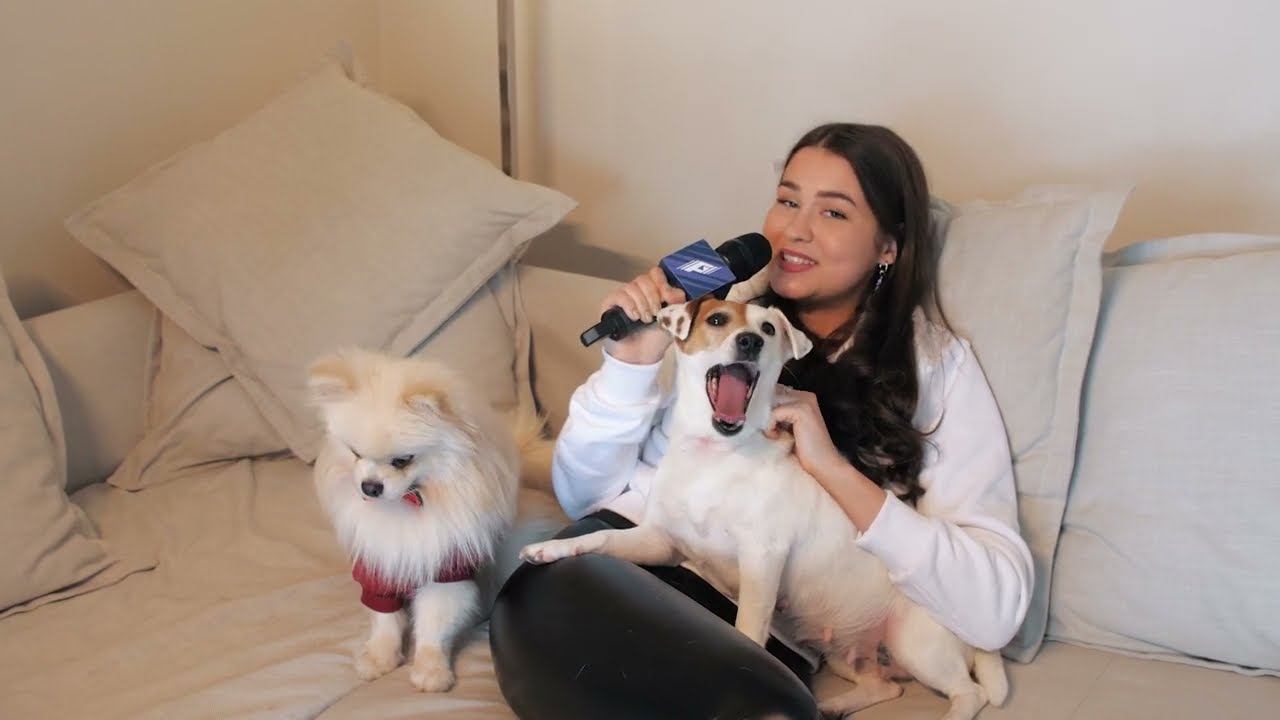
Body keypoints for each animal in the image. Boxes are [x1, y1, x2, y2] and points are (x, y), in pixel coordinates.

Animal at [309, 348, 549, 692]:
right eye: (355, 454)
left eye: (402, 460)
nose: (370, 486)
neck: (408, 505)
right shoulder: (380, 568)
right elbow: (385, 620)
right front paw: (379, 658)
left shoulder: (445, 571)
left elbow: (433, 624)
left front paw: (430, 670)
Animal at [520, 298, 1007, 720]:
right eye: (717, 320)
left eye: (769, 329)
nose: (750, 341)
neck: (714, 456)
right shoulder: (660, 541)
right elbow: (601, 538)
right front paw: (551, 550)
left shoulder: (761, 559)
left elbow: (747, 629)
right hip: (845, 651)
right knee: (885, 685)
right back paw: (834, 704)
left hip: (916, 645)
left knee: (971, 692)